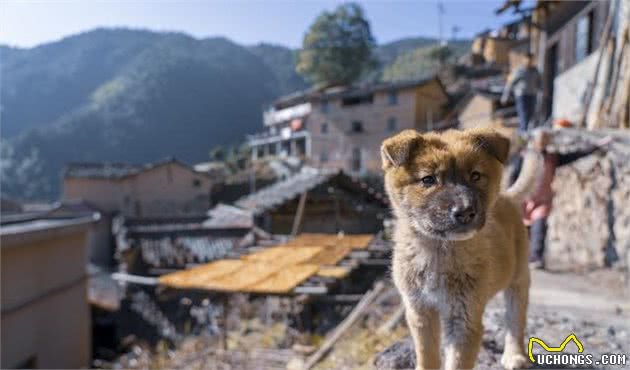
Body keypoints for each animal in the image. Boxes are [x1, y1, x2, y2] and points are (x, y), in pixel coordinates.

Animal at [382, 128, 536, 370]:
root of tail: (506, 196)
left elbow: (457, 361)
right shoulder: (420, 311)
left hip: (518, 278)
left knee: (515, 319)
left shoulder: (465, 318)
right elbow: (427, 355)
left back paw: (514, 355)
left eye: (475, 175)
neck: (438, 251)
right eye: (428, 179)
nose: (465, 212)